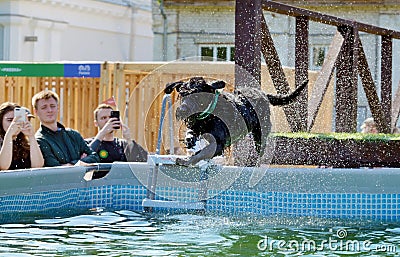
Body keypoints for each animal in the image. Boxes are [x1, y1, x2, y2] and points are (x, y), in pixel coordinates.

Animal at [164, 76, 308, 166]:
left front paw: (187, 160)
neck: (209, 115)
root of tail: (264, 95)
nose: (183, 110)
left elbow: (201, 153)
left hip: (260, 133)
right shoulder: (197, 127)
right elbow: (190, 133)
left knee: (260, 150)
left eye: (197, 94)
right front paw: (189, 140)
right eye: (182, 94)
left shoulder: (219, 143)